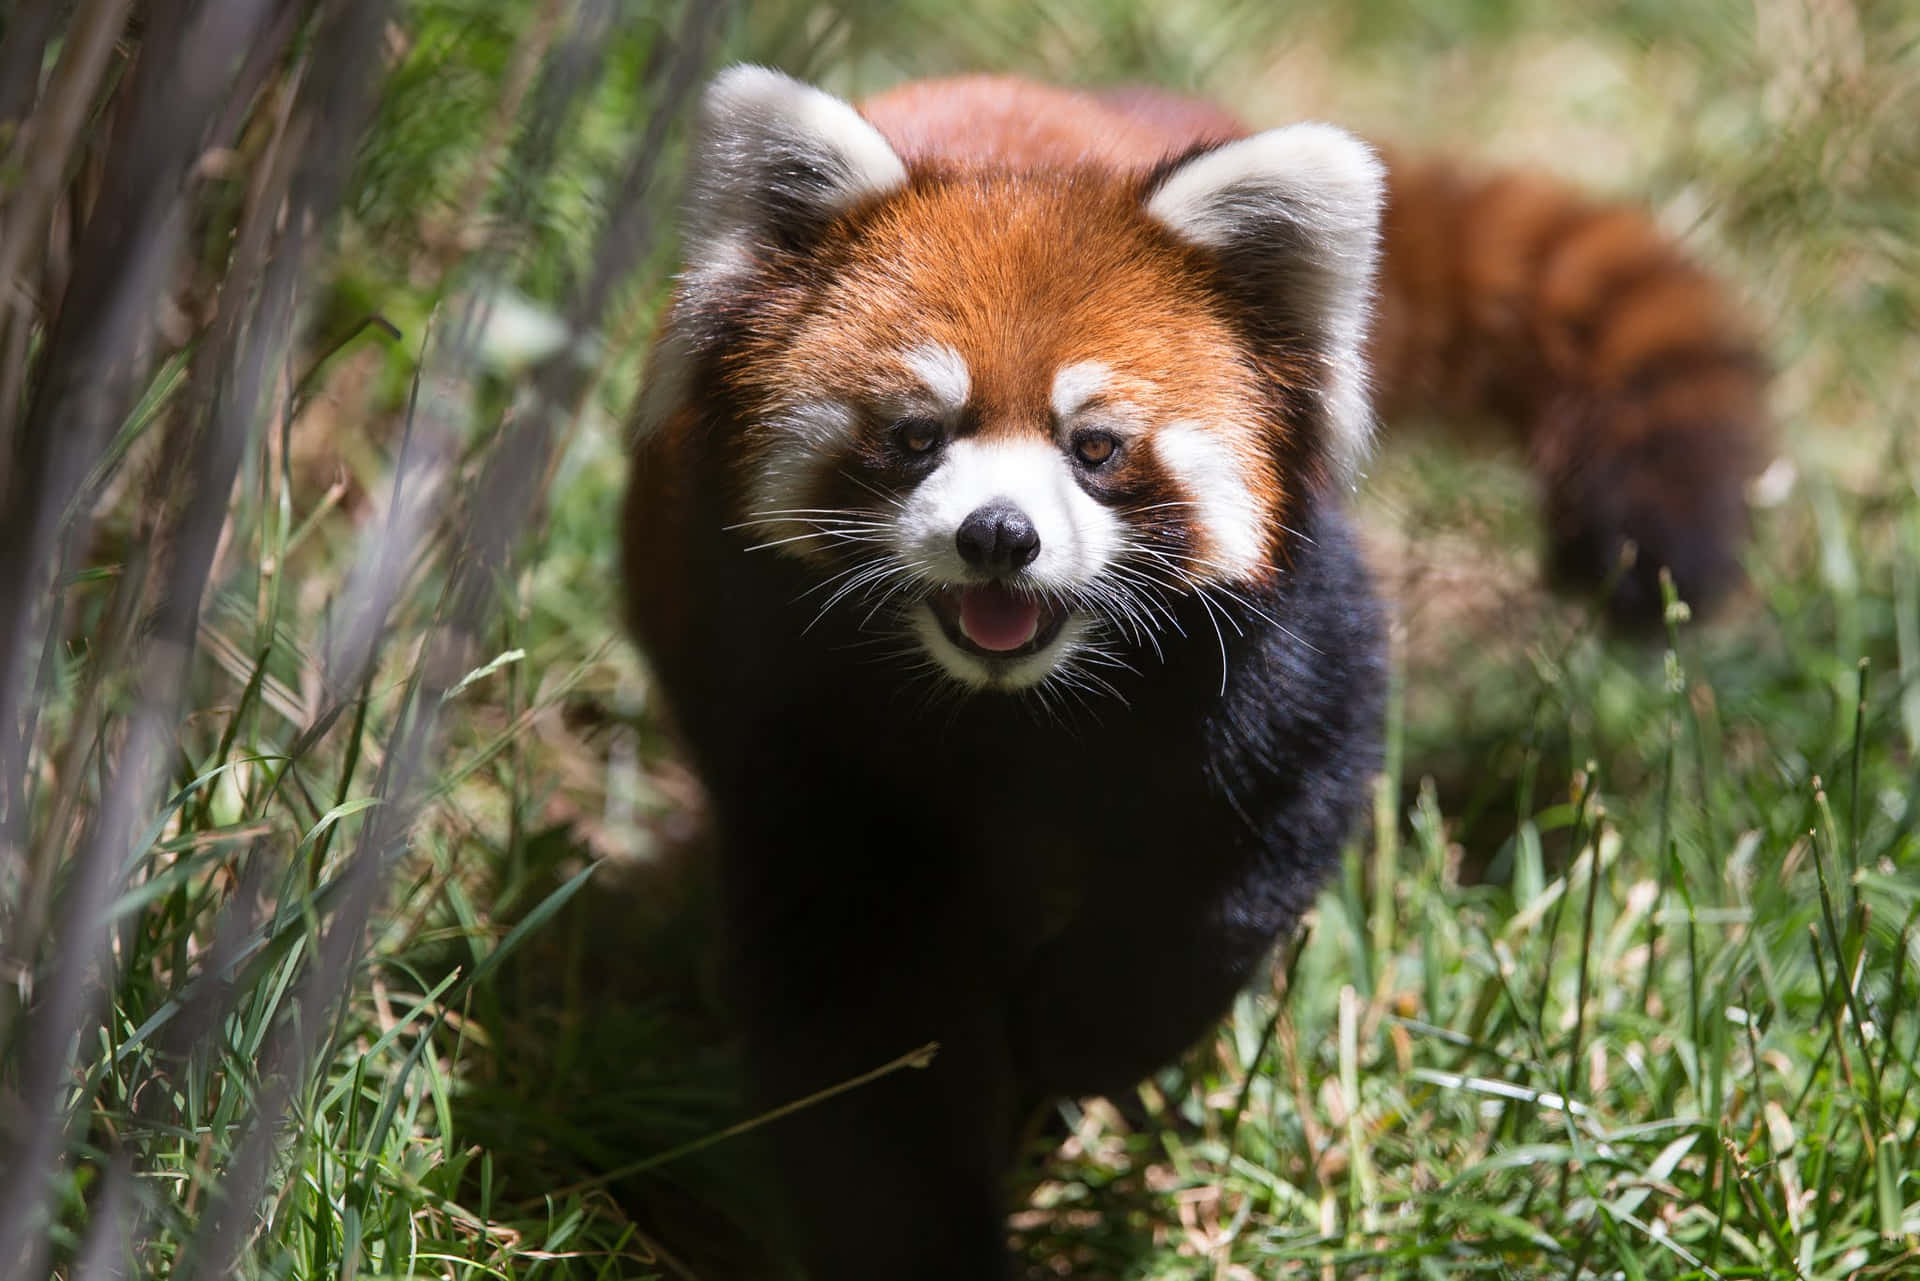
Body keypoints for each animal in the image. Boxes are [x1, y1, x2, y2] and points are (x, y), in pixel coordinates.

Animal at [618, 72, 1766, 1281]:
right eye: (918, 433)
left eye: (1096, 447)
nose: (999, 536)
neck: (1014, 706)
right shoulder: (792, 715)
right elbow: (867, 1023)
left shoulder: (1271, 650)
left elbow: (1250, 853)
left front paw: (1081, 1037)